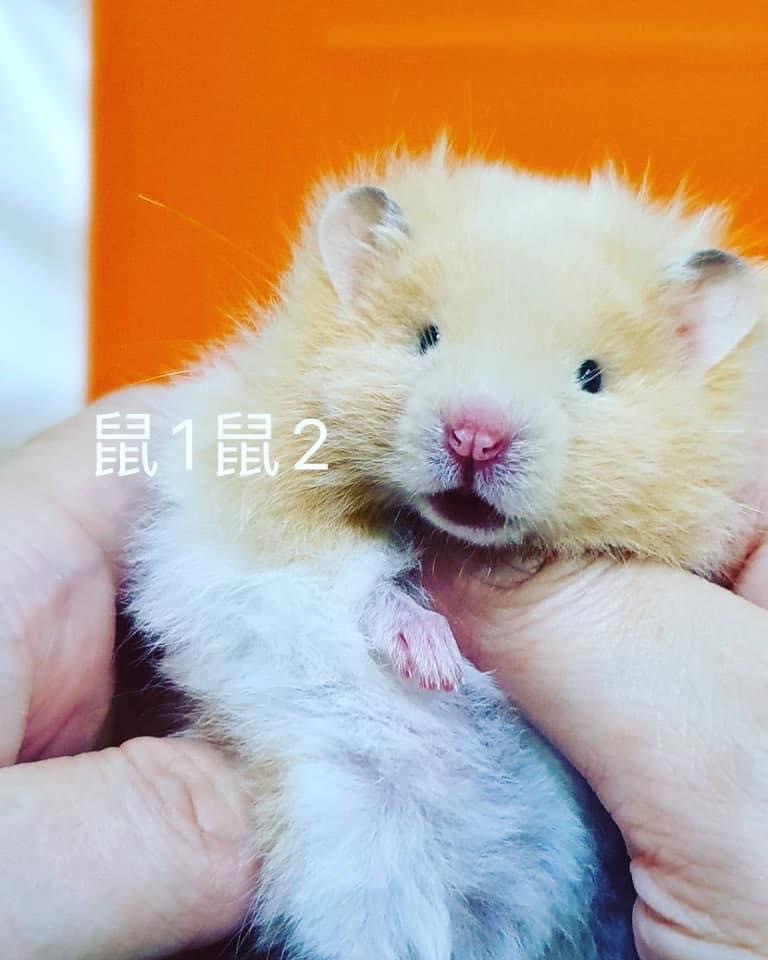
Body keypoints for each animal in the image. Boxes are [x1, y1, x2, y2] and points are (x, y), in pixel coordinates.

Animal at [127, 142, 765, 960]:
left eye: (591, 377)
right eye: (426, 337)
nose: (475, 436)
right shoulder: (232, 528)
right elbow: (351, 587)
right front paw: (433, 666)